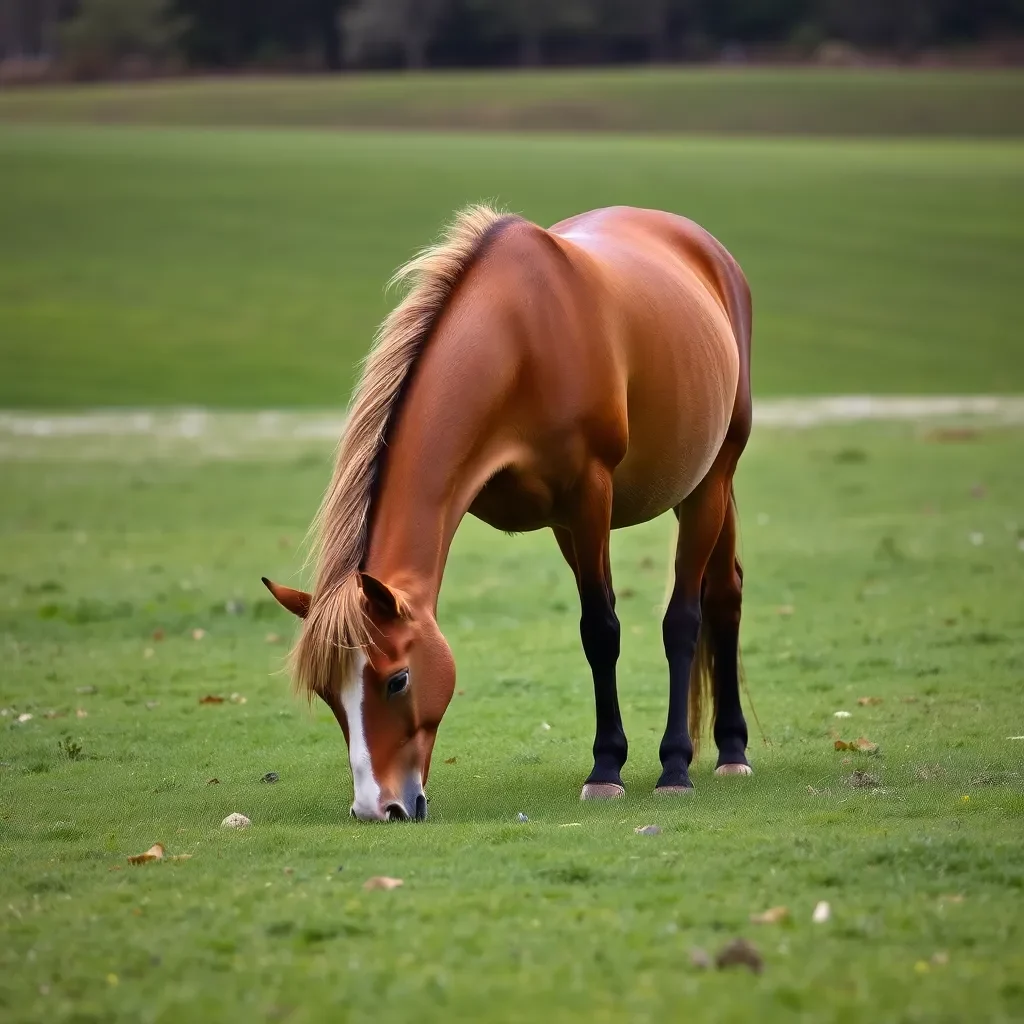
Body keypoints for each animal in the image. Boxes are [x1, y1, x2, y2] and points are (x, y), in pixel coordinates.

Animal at [264, 203, 753, 819]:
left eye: (397, 680)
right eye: (329, 693)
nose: (379, 809)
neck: (519, 340)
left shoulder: (591, 496)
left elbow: (601, 630)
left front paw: (607, 770)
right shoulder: (564, 521)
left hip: (714, 477)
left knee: (693, 614)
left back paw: (694, 761)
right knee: (726, 594)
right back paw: (728, 747)